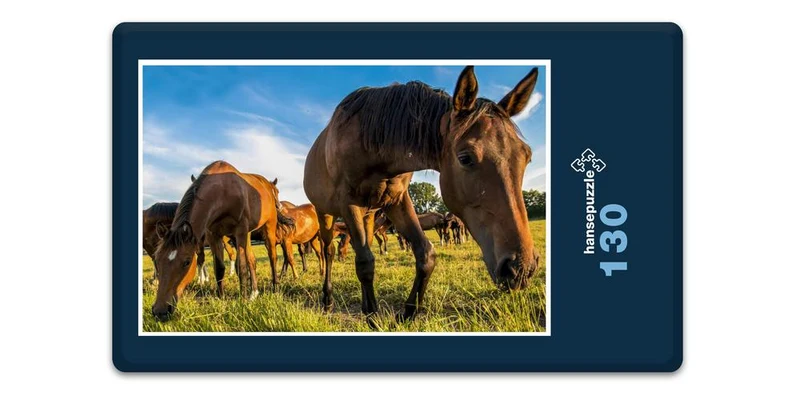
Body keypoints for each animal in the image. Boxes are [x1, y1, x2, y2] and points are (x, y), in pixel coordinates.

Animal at [151, 160, 292, 320]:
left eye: (186, 262)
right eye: (157, 260)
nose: (160, 311)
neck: (223, 192)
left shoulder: (239, 231)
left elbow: (241, 267)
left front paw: (242, 300)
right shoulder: (213, 235)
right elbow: (219, 268)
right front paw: (221, 298)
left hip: (268, 226)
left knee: (272, 257)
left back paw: (275, 288)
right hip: (248, 234)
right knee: (252, 260)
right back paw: (254, 293)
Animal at [303, 65, 541, 325]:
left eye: (527, 156)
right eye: (465, 158)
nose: (520, 268)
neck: (369, 142)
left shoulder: (396, 201)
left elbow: (425, 255)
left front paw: (407, 312)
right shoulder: (348, 203)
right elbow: (365, 263)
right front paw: (373, 317)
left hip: (369, 215)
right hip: (325, 214)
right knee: (328, 251)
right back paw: (328, 300)